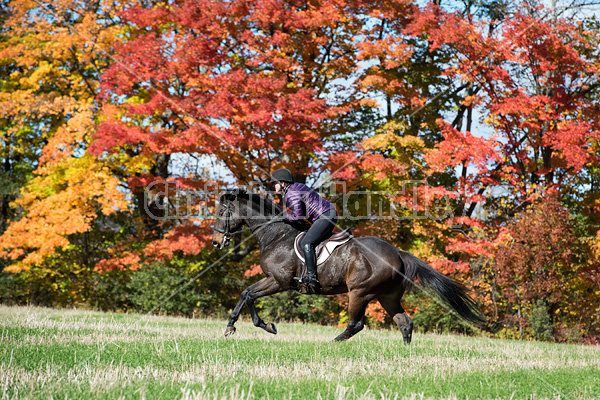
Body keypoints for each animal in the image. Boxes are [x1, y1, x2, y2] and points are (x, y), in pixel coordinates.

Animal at [211, 189, 482, 342]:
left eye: (221, 213)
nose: (216, 241)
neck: (276, 234)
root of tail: (398, 253)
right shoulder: (274, 281)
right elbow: (246, 294)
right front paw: (230, 327)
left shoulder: (279, 281)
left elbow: (249, 296)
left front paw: (266, 326)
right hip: (387, 295)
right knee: (404, 322)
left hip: (359, 291)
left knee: (356, 324)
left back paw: (334, 342)